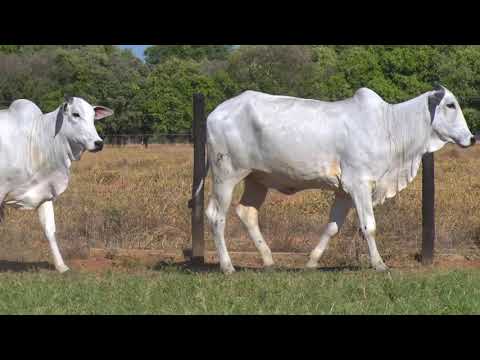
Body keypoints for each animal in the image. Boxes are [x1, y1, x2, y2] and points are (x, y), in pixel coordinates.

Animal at [0, 97, 113, 272]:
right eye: (76, 114)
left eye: (94, 116)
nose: (98, 143)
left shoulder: (45, 191)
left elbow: (50, 230)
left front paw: (61, 266)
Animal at [203, 86, 476, 274]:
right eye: (450, 105)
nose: (472, 138)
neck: (390, 126)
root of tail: (215, 112)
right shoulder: (360, 184)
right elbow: (369, 226)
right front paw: (379, 264)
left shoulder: (344, 191)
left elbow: (332, 227)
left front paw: (311, 262)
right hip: (226, 175)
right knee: (216, 216)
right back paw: (227, 266)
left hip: (257, 179)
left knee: (247, 213)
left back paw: (269, 260)